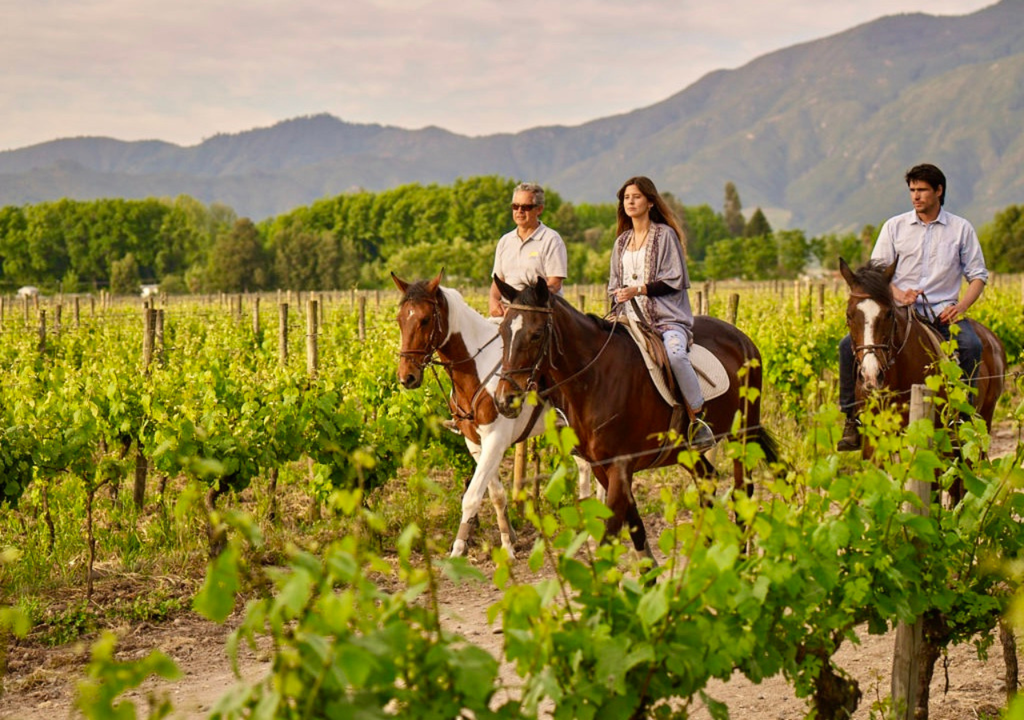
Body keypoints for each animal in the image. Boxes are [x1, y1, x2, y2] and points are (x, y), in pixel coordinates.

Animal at [393, 270, 598, 557]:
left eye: (424, 320)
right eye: (400, 320)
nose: (407, 377)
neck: (475, 368)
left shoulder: (495, 440)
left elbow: (472, 497)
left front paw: (458, 550)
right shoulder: (474, 442)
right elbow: (496, 494)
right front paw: (508, 542)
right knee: (585, 467)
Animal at [491, 276, 778, 557]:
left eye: (536, 334)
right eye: (502, 332)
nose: (504, 400)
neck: (594, 378)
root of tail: (742, 339)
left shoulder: (620, 465)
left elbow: (610, 536)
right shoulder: (602, 467)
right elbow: (636, 528)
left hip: (742, 435)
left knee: (742, 491)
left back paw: (739, 559)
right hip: (685, 450)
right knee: (708, 480)